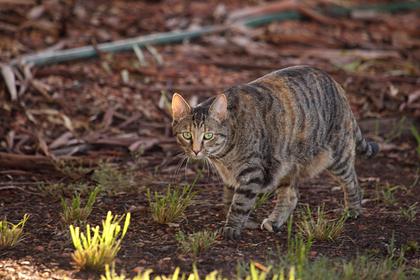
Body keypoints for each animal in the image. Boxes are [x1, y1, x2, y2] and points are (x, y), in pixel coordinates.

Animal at [169, 65, 378, 238]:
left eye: (208, 136)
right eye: (187, 135)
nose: (196, 151)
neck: (224, 157)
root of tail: (337, 84)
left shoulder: (251, 172)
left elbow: (239, 203)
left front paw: (232, 227)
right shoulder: (232, 177)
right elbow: (229, 200)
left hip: (336, 155)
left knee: (352, 181)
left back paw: (353, 209)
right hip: (285, 165)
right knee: (291, 196)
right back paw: (275, 221)